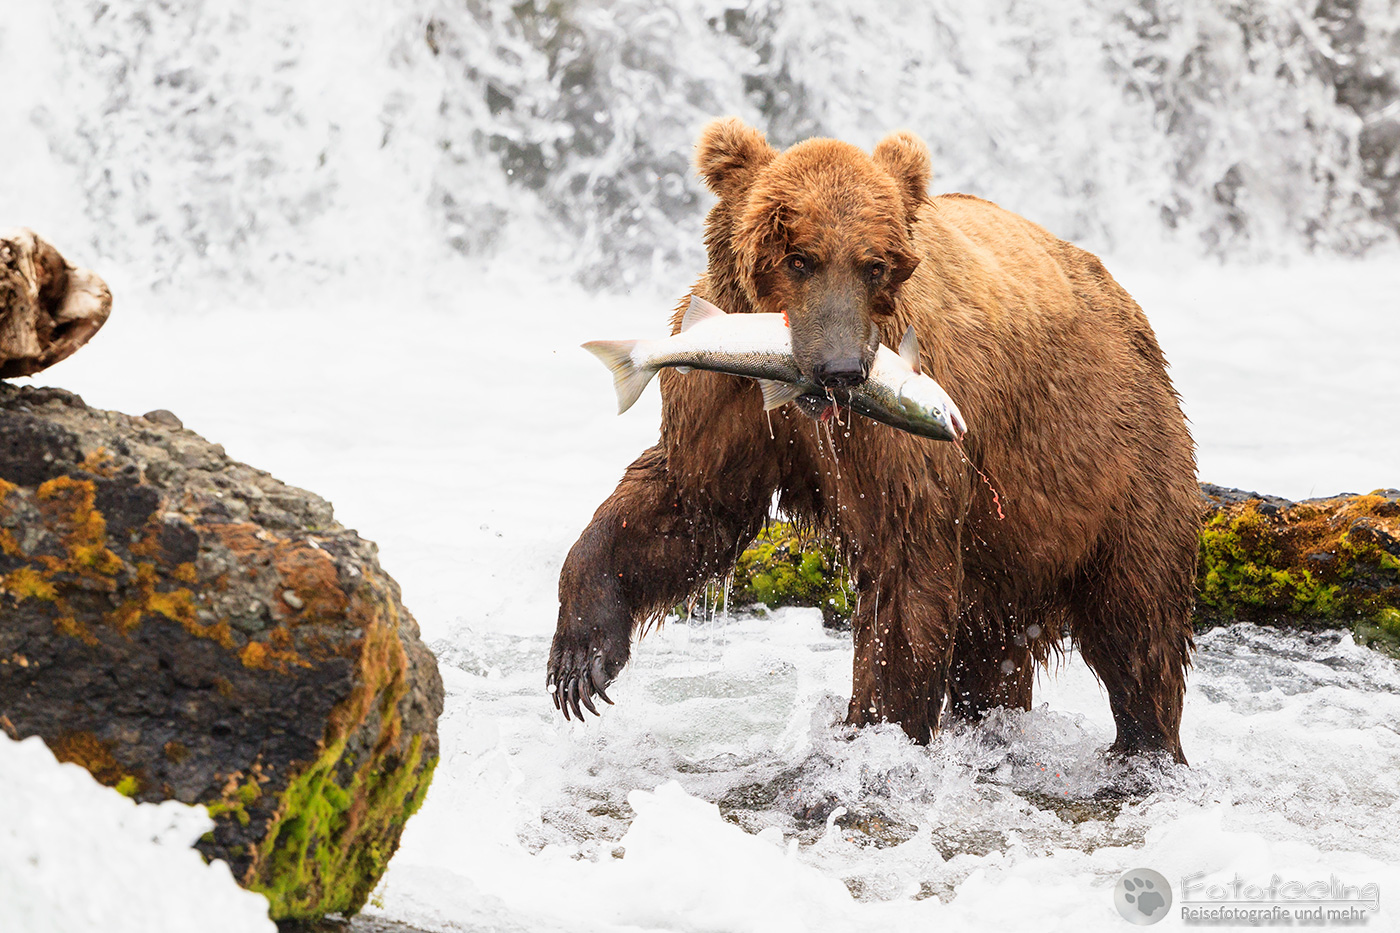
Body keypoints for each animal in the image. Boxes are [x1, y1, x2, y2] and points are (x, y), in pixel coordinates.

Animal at [548, 117, 1199, 763]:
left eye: (874, 265)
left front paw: (871, 730)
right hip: (1010, 542)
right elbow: (691, 505)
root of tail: (1124, 300)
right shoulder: (727, 397)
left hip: (1115, 457)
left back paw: (1145, 747)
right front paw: (581, 662)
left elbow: (903, 567)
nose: (839, 369)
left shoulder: (897, 433)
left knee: (1136, 621)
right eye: (798, 258)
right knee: (994, 649)